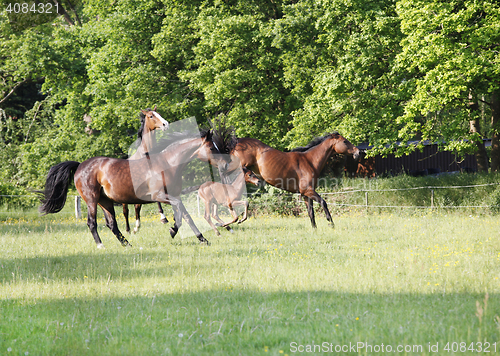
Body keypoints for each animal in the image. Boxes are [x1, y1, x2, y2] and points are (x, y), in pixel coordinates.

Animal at [37, 128, 232, 248]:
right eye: (212, 148)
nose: (225, 165)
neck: (168, 164)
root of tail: (79, 166)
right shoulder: (160, 196)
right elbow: (183, 215)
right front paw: (179, 232)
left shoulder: (174, 196)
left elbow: (184, 215)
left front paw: (193, 236)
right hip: (92, 200)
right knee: (92, 222)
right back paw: (101, 245)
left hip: (105, 201)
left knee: (112, 224)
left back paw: (127, 244)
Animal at [230, 133, 360, 228]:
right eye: (345, 141)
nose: (358, 152)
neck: (310, 161)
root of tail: (237, 143)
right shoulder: (308, 191)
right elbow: (323, 202)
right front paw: (331, 223)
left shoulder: (306, 194)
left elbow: (311, 213)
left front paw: (315, 229)